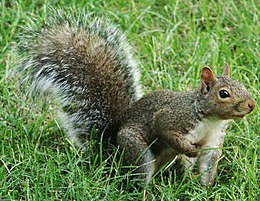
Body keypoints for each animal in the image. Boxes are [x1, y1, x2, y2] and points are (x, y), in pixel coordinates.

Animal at [18, 11, 256, 186]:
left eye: (243, 85)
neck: (210, 119)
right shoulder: (174, 117)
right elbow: (165, 129)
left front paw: (206, 190)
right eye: (223, 93)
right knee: (141, 176)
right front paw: (190, 149)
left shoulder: (213, 140)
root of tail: (111, 150)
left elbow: (207, 164)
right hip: (136, 149)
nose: (251, 105)